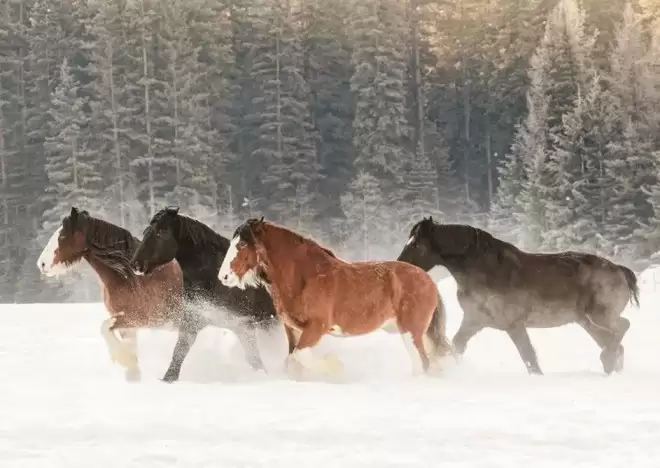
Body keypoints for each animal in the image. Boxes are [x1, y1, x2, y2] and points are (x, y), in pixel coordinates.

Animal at [36, 207, 184, 381]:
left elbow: (104, 328)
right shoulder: (126, 324)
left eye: (63, 236)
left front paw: (123, 359)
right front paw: (132, 371)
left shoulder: (142, 318)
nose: (42, 264)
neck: (133, 278)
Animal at [130, 207, 287, 382]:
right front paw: (167, 379)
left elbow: (255, 359)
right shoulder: (194, 319)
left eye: (161, 231)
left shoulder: (242, 325)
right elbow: (179, 352)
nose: (136, 264)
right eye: (146, 231)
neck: (215, 278)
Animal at [217, 217, 451, 379]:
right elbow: (291, 361)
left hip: (410, 332)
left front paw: (336, 368)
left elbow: (301, 356)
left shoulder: (317, 327)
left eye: (242, 244)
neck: (305, 278)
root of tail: (429, 281)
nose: (223, 276)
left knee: (422, 363)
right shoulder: (292, 329)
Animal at [396, 216, 640, 375]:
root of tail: (619, 270)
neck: (485, 269)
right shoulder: (475, 320)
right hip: (587, 323)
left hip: (600, 316)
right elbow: (457, 345)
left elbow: (528, 356)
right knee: (616, 342)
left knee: (623, 328)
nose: (400, 267)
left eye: (417, 244)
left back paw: (607, 362)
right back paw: (611, 368)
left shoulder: (513, 325)